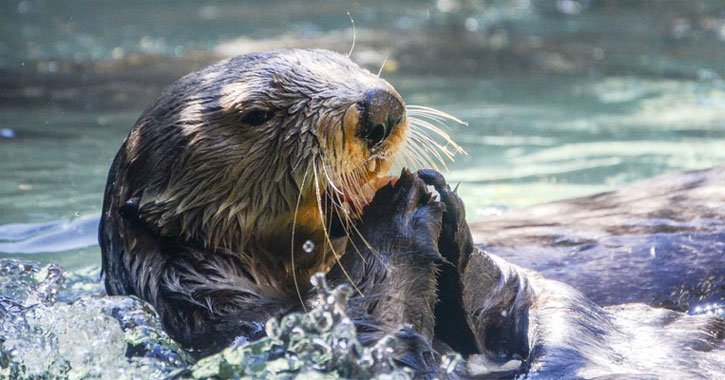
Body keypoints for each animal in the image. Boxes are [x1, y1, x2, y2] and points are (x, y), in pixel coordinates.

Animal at [99, 49, 720, 378]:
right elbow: (383, 342)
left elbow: (530, 298)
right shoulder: (231, 325)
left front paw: (443, 202)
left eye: (345, 62)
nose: (381, 106)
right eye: (255, 114)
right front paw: (396, 210)